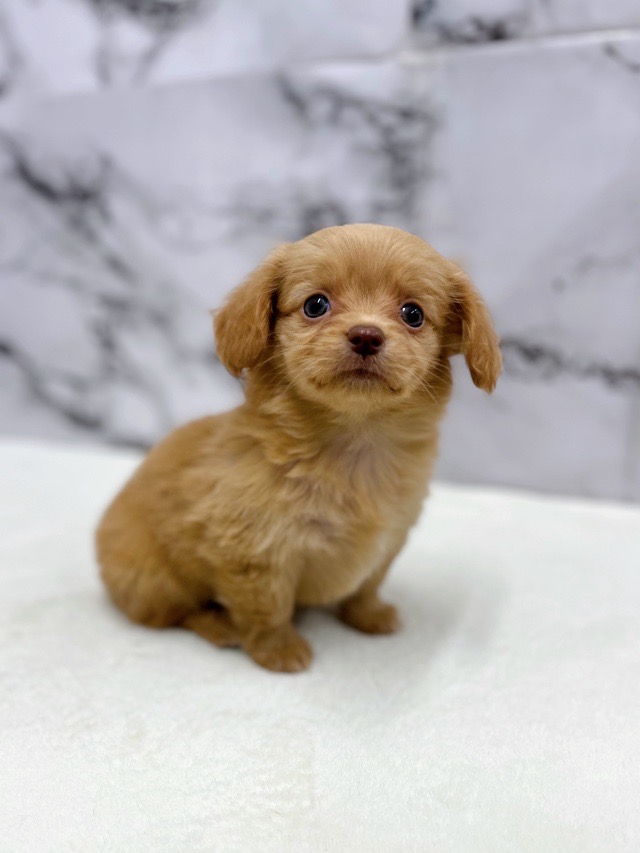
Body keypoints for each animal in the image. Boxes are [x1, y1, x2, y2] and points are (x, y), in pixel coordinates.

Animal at [96, 224, 501, 672]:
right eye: (315, 305)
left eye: (413, 314)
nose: (366, 335)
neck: (354, 444)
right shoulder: (255, 554)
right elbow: (266, 608)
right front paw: (279, 651)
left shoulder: (391, 538)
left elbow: (368, 584)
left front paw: (368, 616)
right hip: (154, 581)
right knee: (177, 613)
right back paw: (219, 626)